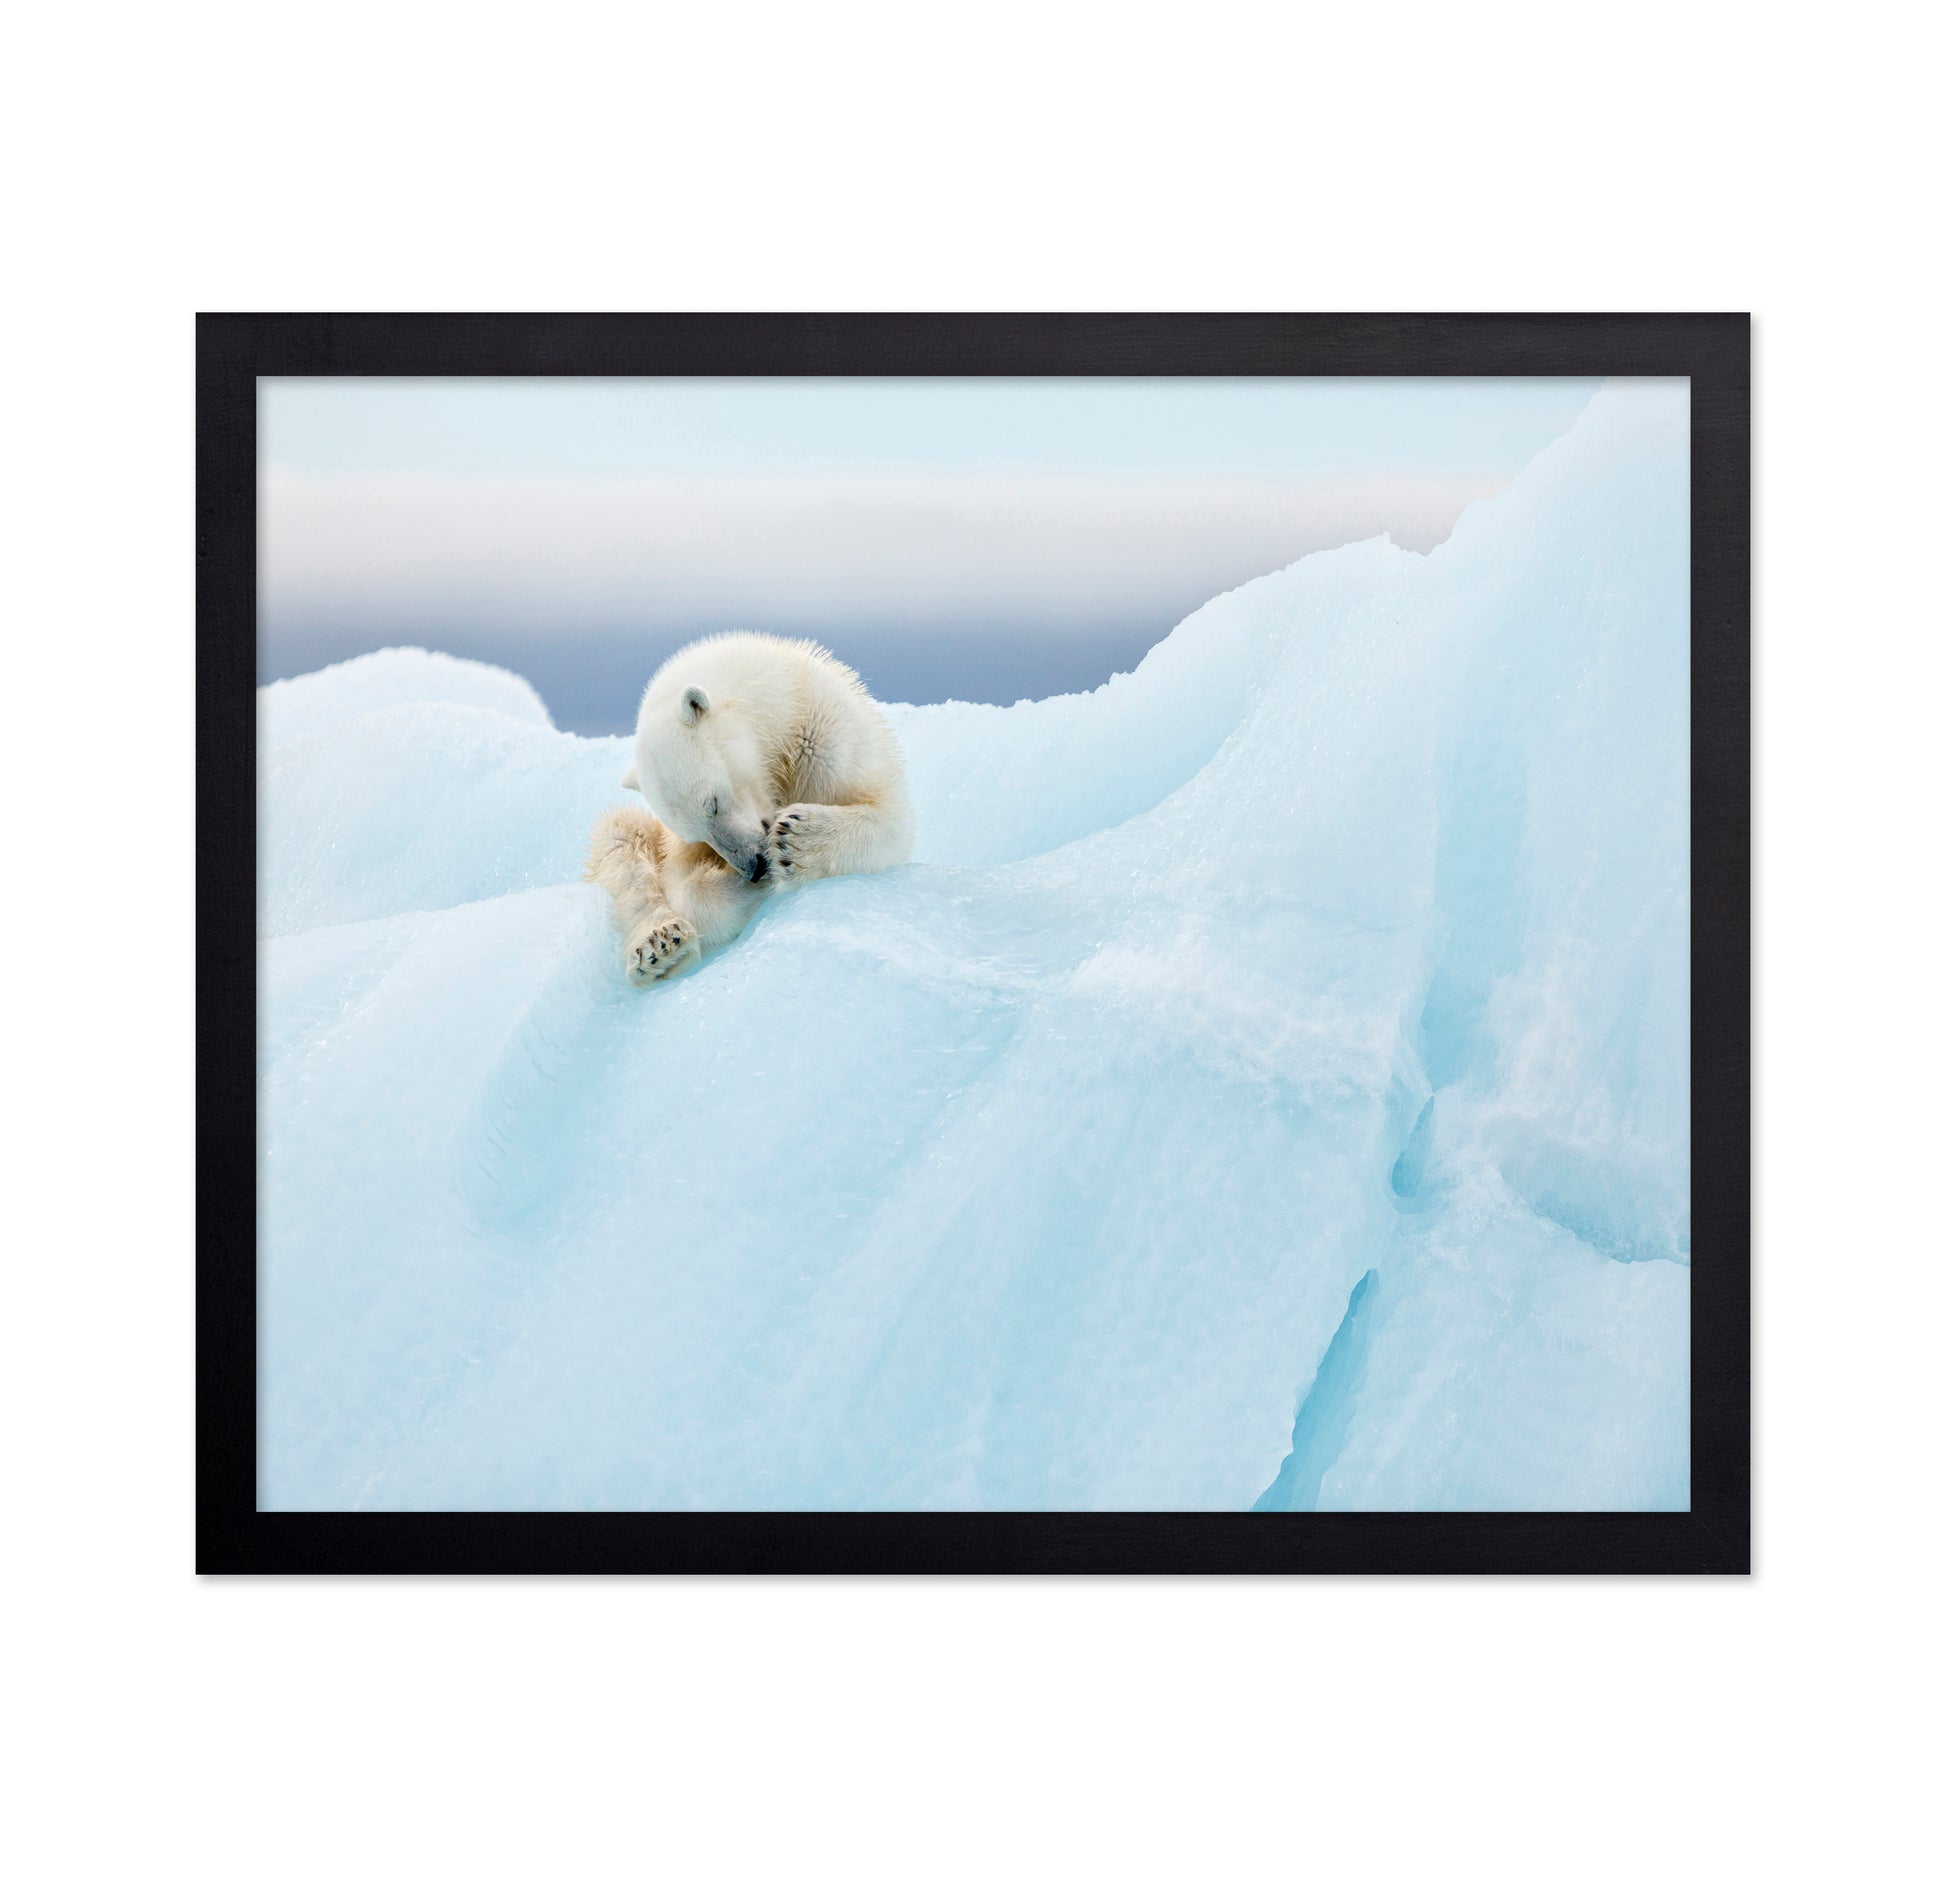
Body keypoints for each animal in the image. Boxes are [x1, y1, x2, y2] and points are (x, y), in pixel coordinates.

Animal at [584, 632, 916, 985]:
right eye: (696, 834)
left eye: (713, 804)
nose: (754, 867)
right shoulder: (674, 845)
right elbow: (683, 883)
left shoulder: (829, 739)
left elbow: (891, 819)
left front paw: (795, 840)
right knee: (620, 836)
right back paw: (660, 947)